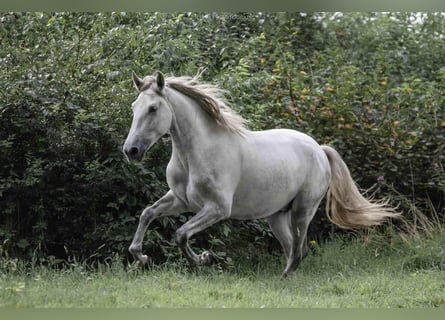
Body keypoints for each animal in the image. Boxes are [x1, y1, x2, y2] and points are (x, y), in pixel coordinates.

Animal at [122, 71, 398, 276]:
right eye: (134, 106)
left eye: (153, 108)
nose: (131, 150)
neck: (196, 154)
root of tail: (319, 148)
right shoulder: (182, 201)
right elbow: (147, 214)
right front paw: (141, 257)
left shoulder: (217, 209)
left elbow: (180, 235)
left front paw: (205, 258)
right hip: (277, 216)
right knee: (291, 249)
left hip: (302, 211)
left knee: (300, 251)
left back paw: (283, 278)